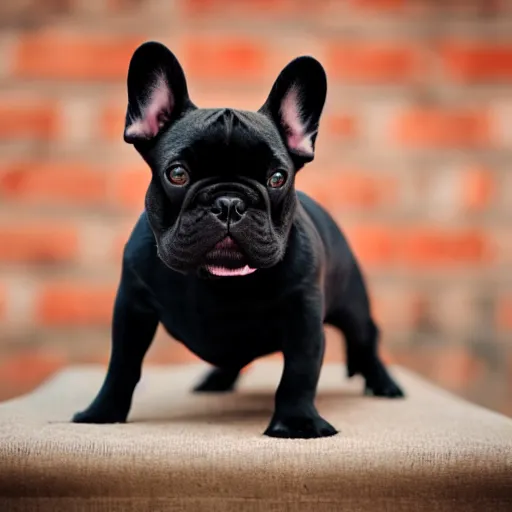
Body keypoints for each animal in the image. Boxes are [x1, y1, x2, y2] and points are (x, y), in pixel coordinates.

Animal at [72, 42, 402, 438]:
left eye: (277, 178)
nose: (229, 202)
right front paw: (102, 412)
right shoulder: (132, 307)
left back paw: (386, 386)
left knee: (367, 340)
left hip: (353, 305)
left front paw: (297, 422)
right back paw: (215, 381)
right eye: (177, 174)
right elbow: (122, 363)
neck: (220, 278)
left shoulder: (304, 314)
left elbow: (300, 370)